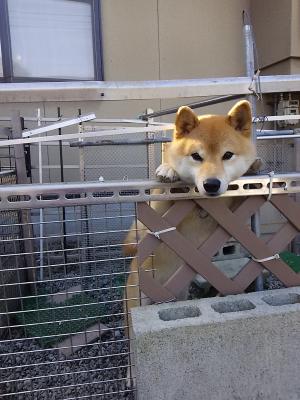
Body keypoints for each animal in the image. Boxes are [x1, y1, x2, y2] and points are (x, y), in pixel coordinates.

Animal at [123, 100, 256, 324]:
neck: (199, 208)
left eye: (227, 155)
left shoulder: (231, 213)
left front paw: (256, 165)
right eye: (196, 156)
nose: (211, 184)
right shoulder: (154, 219)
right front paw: (168, 169)